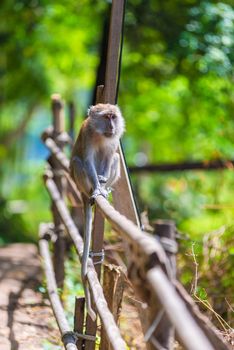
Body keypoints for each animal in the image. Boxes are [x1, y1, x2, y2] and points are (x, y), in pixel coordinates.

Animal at [69, 103, 125, 320]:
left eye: (113, 117)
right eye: (106, 117)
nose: (112, 126)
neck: (101, 134)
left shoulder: (113, 140)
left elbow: (110, 156)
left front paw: (102, 184)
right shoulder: (87, 135)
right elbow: (88, 161)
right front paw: (98, 188)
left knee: (115, 157)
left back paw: (105, 187)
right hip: (80, 182)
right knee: (78, 162)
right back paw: (93, 192)